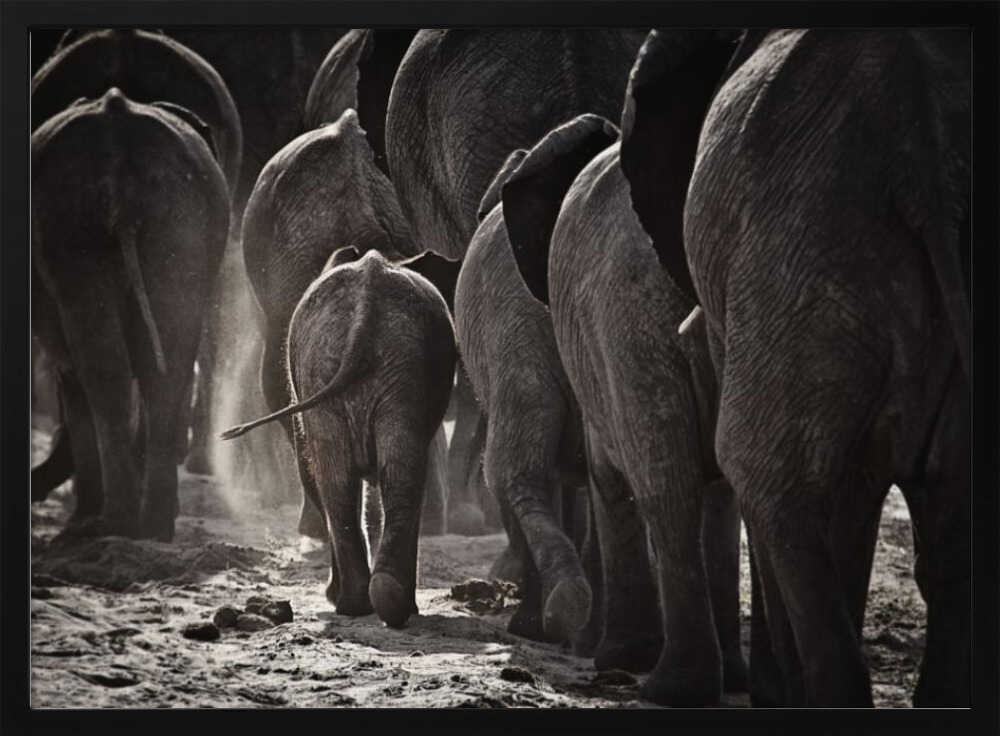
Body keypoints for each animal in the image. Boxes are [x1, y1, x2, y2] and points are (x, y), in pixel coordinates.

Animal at [31, 88, 230, 541]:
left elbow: (70, 373)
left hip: (68, 227)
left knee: (101, 368)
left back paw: (106, 523)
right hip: (182, 223)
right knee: (167, 364)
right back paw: (152, 526)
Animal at [221, 248, 457, 628]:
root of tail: (367, 305)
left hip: (363, 367)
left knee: (347, 479)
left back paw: (362, 603)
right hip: (369, 367)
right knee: (377, 476)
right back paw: (378, 603)